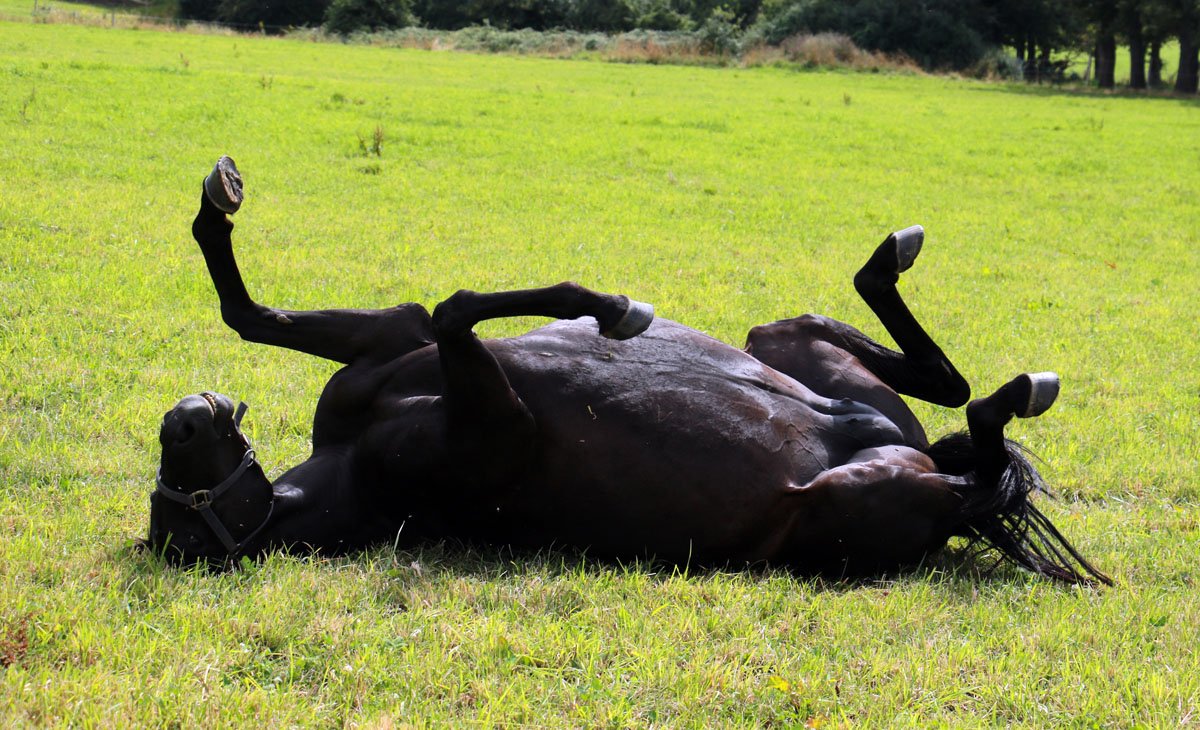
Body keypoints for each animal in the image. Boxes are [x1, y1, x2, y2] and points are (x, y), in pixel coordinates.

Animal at [149, 156, 1110, 585]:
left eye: (177, 463)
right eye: (182, 525)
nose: (186, 416)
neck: (352, 460)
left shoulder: (394, 339)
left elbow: (253, 313)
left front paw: (218, 201)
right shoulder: (500, 426)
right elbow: (459, 306)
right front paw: (614, 308)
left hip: (792, 347)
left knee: (950, 392)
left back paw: (909, 277)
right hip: (853, 495)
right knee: (975, 452)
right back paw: (1006, 405)